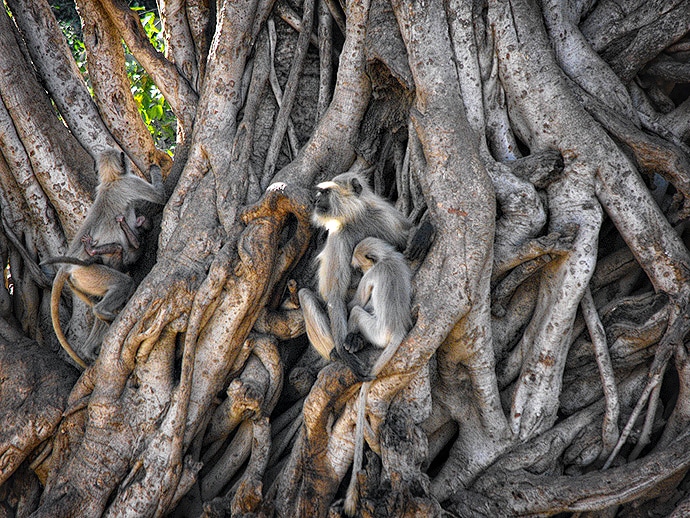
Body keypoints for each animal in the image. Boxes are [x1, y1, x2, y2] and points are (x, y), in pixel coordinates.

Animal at [342, 238, 412, 516]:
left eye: (359, 265)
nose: (358, 270)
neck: (387, 259)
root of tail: (398, 329)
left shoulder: (373, 274)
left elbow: (355, 304)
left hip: (376, 332)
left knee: (358, 313)